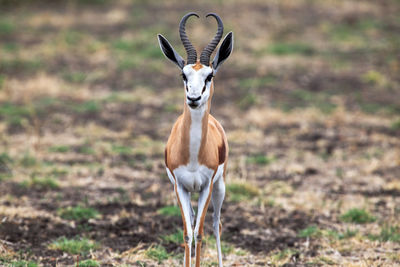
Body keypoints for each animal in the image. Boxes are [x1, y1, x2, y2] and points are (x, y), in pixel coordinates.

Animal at [156, 12, 231, 267]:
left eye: (209, 75)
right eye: (183, 74)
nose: (194, 98)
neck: (192, 155)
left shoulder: (207, 186)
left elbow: (199, 232)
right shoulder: (180, 187)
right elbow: (188, 233)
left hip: (220, 188)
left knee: (216, 225)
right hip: (190, 192)